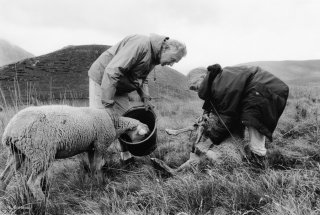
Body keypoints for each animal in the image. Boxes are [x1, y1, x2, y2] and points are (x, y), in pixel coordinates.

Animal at [0, 105, 149, 201]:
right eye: (143, 134)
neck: (113, 122)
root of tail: (10, 130)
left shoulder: (91, 147)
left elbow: (92, 166)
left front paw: (93, 181)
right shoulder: (100, 144)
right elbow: (98, 166)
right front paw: (100, 183)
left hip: (17, 153)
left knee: (4, 176)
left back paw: (2, 195)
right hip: (41, 152)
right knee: (33, 182)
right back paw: (44, 203)